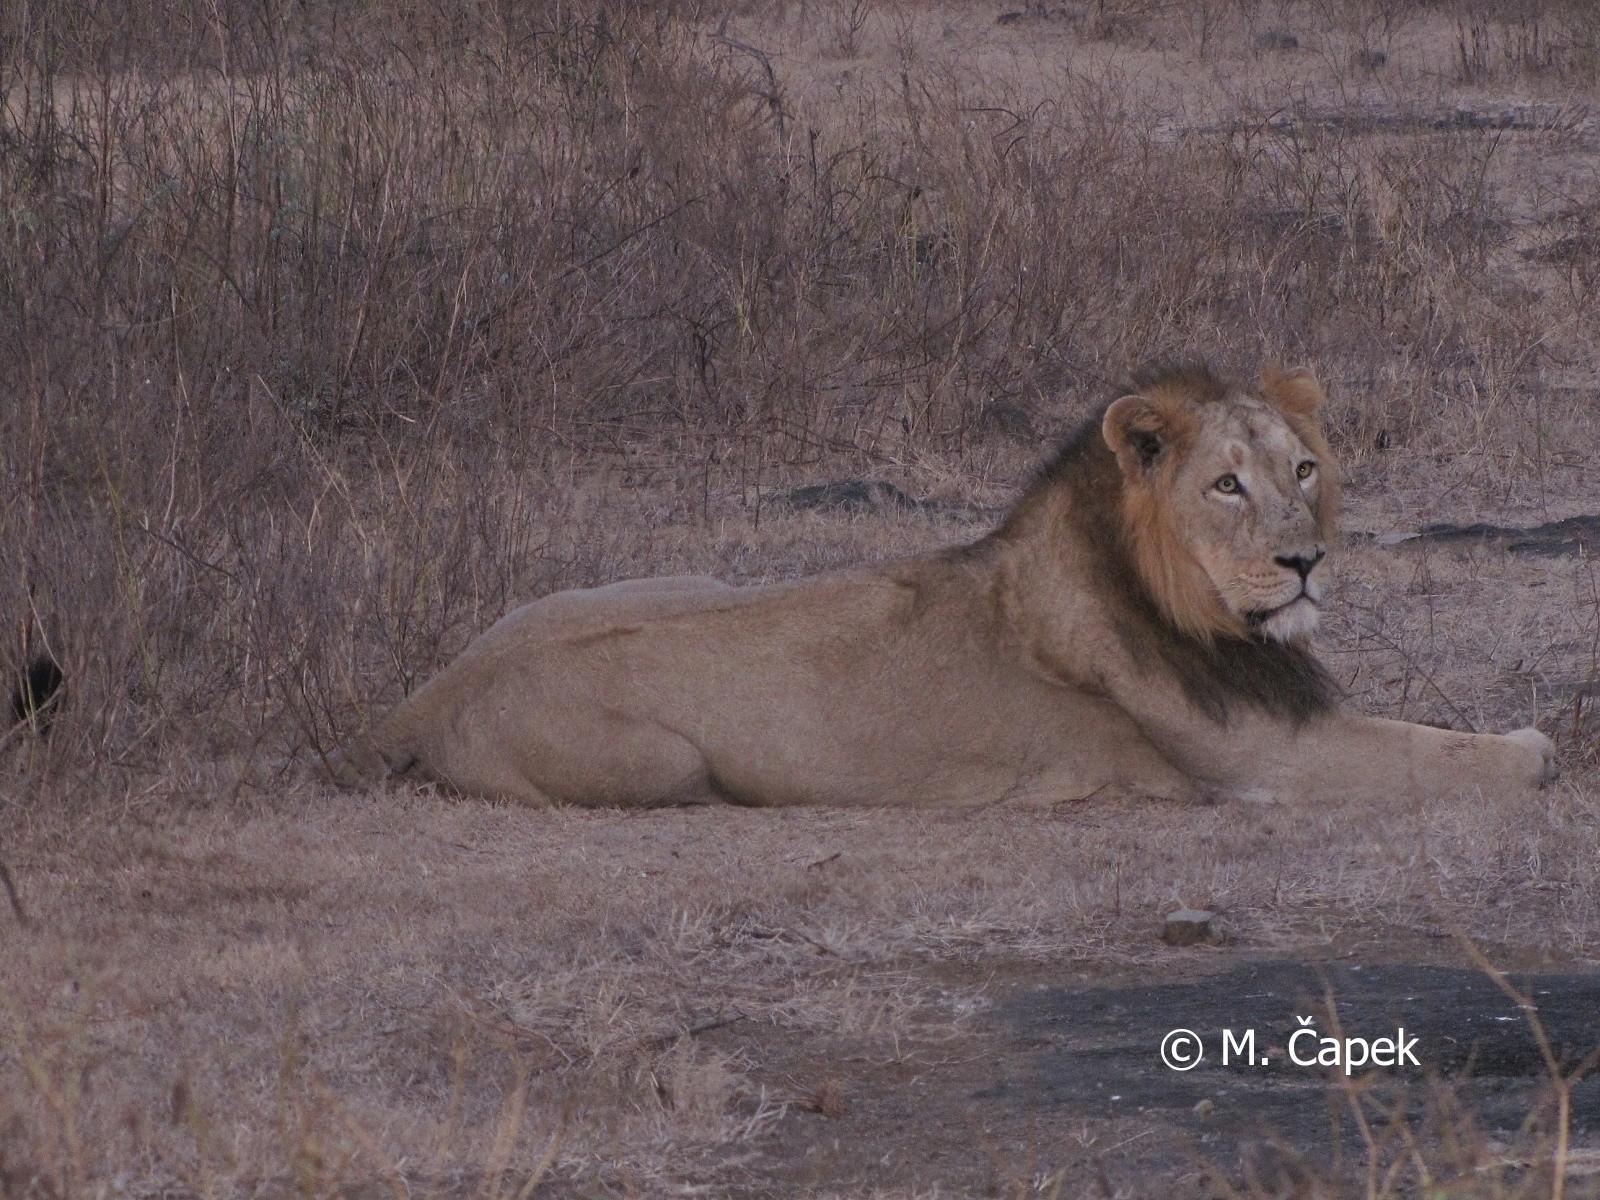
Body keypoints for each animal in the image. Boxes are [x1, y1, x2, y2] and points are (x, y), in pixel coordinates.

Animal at [328, 364, 1557, 808]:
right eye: (1225, 484)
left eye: (1303, 471)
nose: (1307, 560)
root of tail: (424, 696)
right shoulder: (1262, 763)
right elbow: (1445, 754)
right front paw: (1531, 747)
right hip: (664, 768)